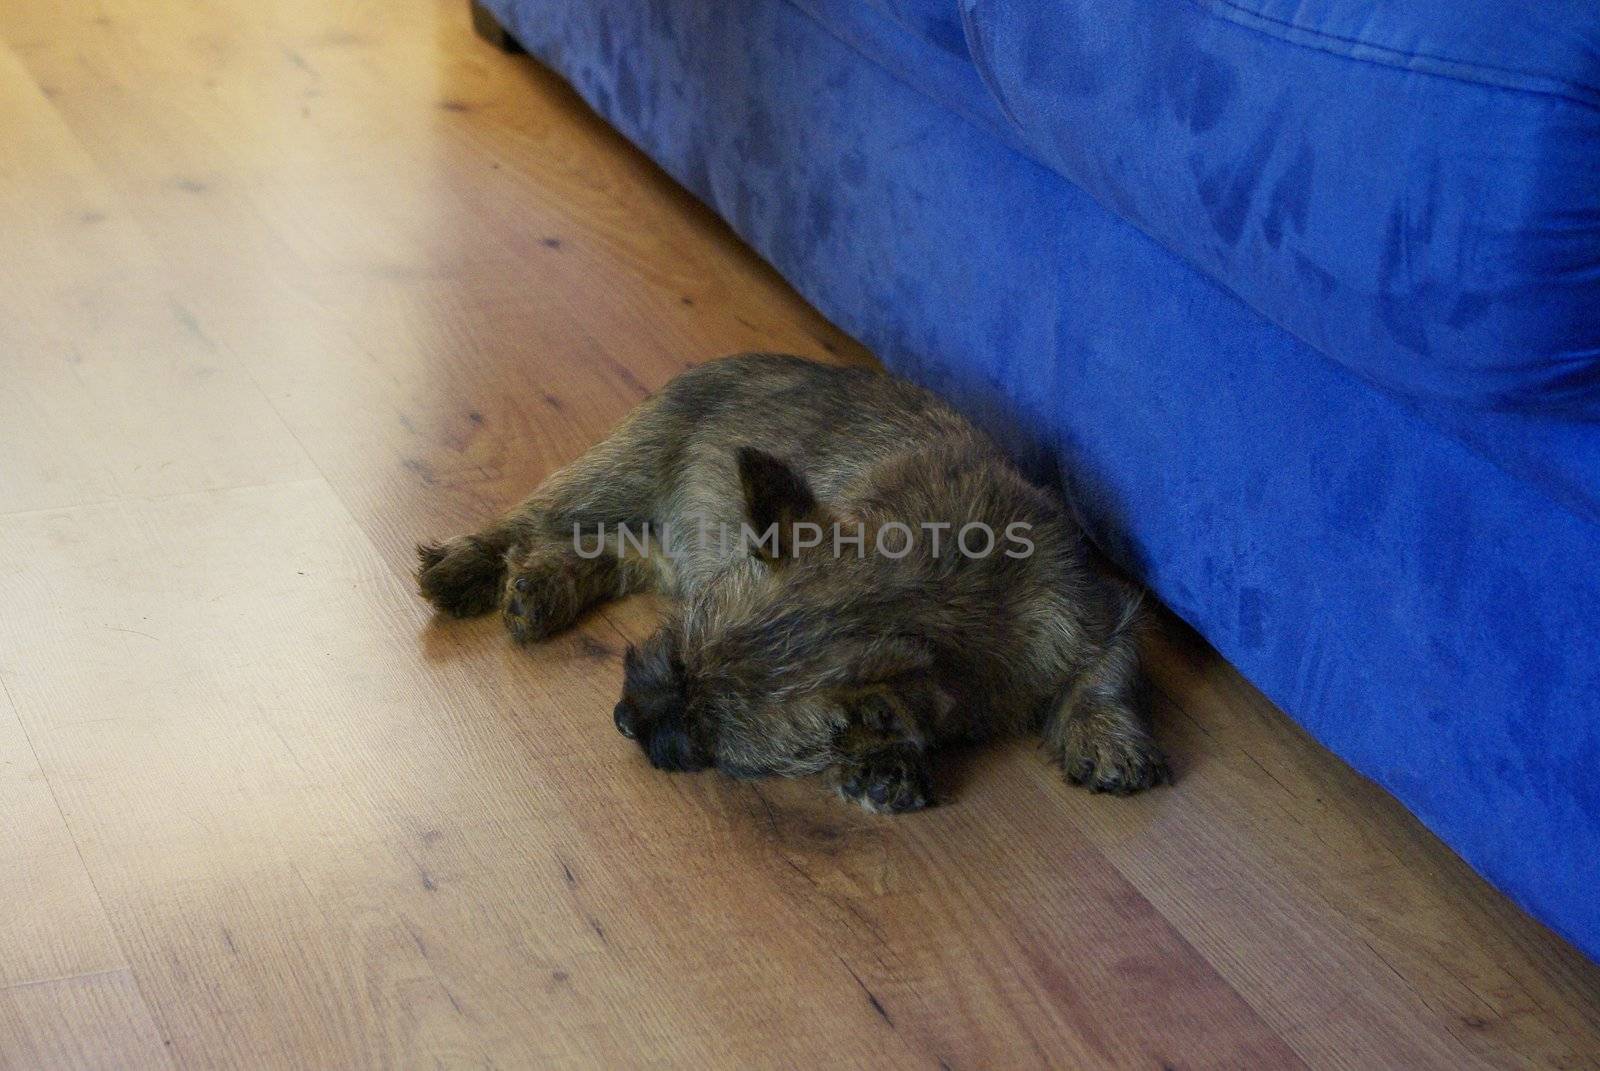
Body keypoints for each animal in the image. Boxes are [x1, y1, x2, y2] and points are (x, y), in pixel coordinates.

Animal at [416, 350, 1164, 810]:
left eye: (710, 730)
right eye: (676, 650)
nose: (623, 718)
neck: (936, 582)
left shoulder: (1091, 611)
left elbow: (1105, 675)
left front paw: (1107, 737)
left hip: (690, 541)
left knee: (625, 548)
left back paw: (544, 586)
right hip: (624, 468)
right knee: (531, 517)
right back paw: (466, 565)